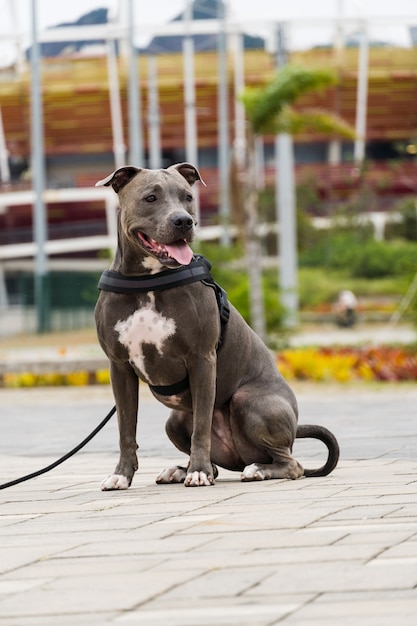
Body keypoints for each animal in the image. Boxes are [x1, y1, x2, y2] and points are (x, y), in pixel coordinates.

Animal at [94, 162, 338, 488]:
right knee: (217, 458)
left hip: (249, 401)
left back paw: (252, 470)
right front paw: (122, 475)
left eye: (187, 197)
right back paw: (181, 470)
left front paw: (197, 472)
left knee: (291, 464)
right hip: (174, 421)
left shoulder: (201, 359)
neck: (149, 281)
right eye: (150, 198)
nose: (184, 221)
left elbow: (201, 426)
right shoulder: (119, 367)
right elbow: (125, 428)